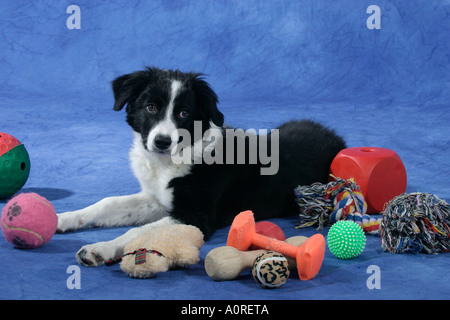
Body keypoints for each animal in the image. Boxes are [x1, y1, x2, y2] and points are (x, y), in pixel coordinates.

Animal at [56, 67, 344, 268]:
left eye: (184, 113)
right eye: (150, 107)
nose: (162, 142)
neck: (173, 159)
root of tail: (334, 136)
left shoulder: (196, 215)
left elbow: (137, 231)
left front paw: (100, 249)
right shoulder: (158, 199)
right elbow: (107, 203)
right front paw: (62, 219)